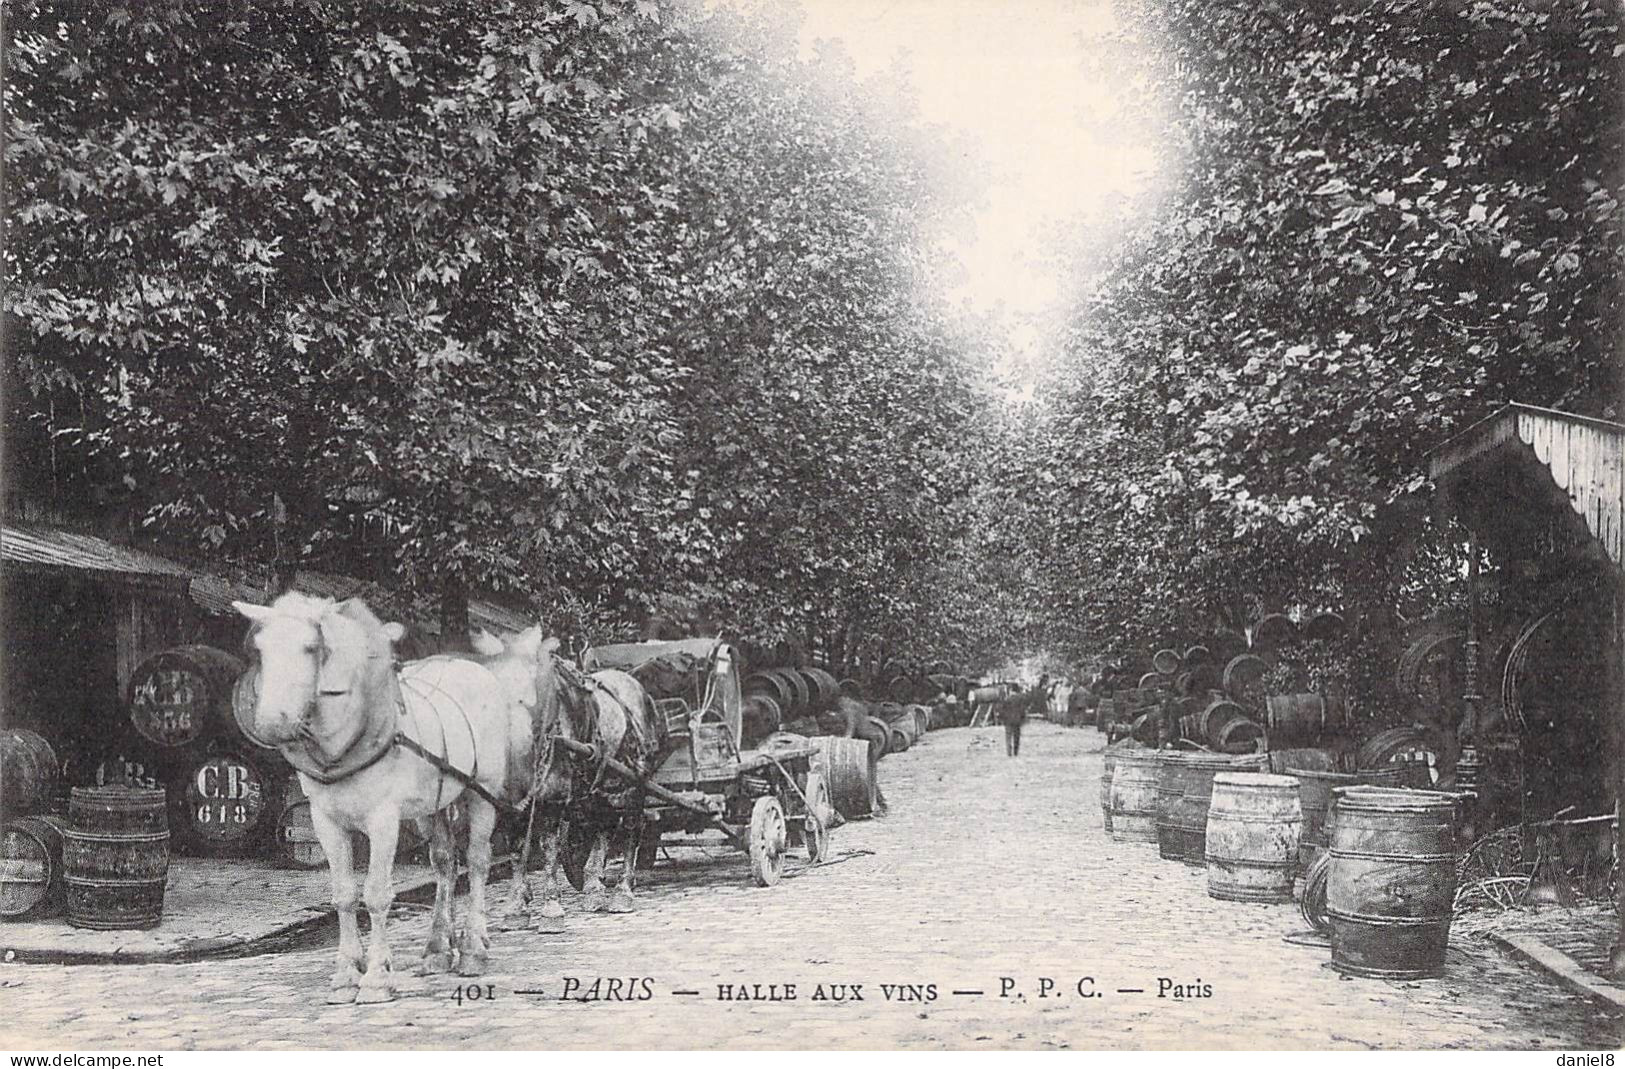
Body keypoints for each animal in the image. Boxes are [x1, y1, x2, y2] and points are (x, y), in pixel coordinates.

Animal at [229, 591, 516, 1000]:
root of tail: (470, 666)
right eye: (260, 649)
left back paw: (474, 948)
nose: (271, 723)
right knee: (445, 864)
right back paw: (437, 949)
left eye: (311, 647)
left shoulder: (383, 820)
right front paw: (347, 971)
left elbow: (377, 894)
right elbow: (344, 895)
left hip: (483, 794)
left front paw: (378, 976)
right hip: (432, 805)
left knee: (477, 863)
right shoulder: (325, 822)